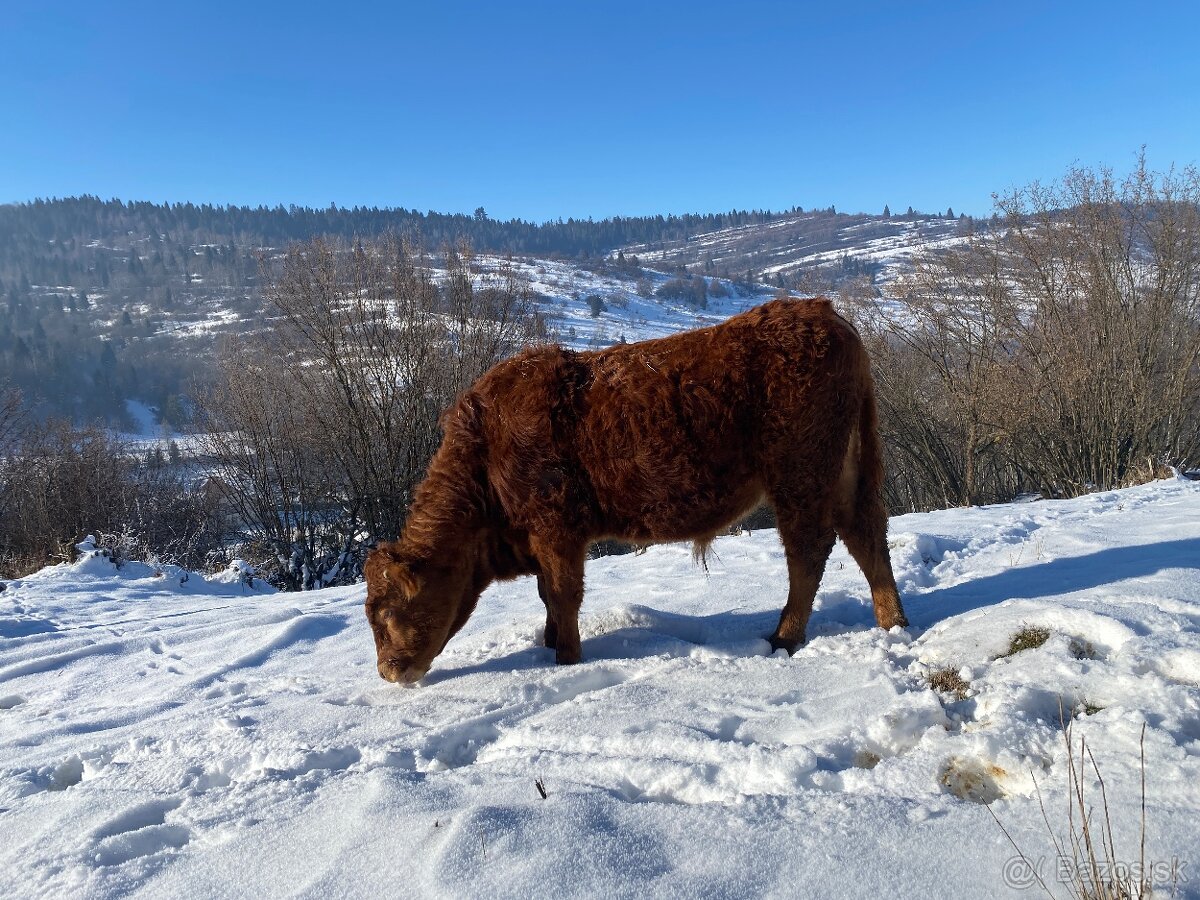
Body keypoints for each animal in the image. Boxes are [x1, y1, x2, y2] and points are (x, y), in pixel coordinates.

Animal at [364, 297, 907, 681]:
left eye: (388, 612)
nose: (388, 672)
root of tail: (822, 311)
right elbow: (546, 596)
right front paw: (547, 642)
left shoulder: (556, 527)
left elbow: (562, 593)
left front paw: (565, 657)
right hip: (845, 470)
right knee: (866, 536)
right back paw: (893, 624)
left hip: (800, 474)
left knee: (809, 550)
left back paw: (783, 637)